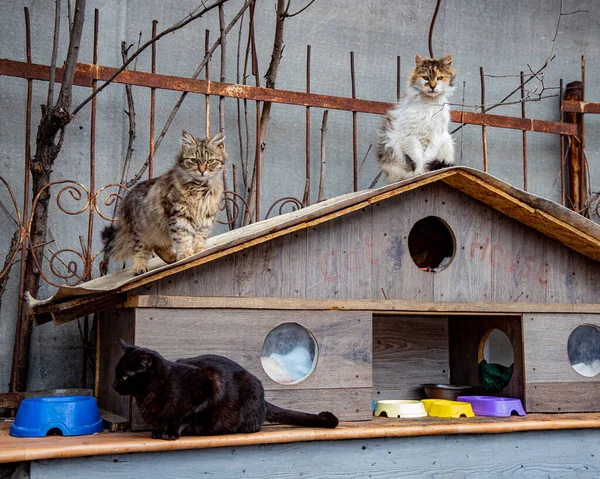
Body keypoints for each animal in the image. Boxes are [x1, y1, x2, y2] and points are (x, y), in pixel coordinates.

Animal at [102, 131, 226, 276]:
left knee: (157, 246)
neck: (200, 188)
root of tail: (126, 199)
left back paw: (172, 257)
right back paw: (139, 268)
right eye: (194, 161)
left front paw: (199, 250)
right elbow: (183, 237)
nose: (202, 170)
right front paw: (186, 254)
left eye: (210, 161)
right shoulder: (179, 216)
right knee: (140, 250)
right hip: (141, 233)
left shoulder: (206, 217)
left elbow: (200, 237)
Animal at [112, 340, 338, 440]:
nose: (114, 386)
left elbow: (183, 417)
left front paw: (170, 433)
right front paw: (158, 431)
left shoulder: (210, 385)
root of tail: (264, 401)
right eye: (116, 374)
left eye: (124, 377)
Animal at [378, 55, 458, 183]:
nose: (432, 86)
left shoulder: (436, 136)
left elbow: (427, 157)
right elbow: (418, 158)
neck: (429, 104)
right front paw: (419, 174)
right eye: (426, 78)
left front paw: (425, 173)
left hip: (447, 142)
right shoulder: (410, 136)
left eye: (440, 78)